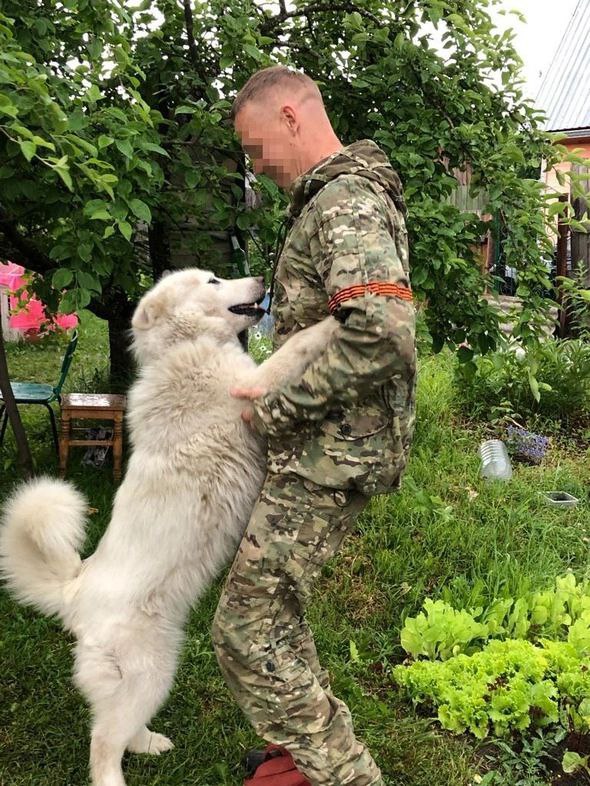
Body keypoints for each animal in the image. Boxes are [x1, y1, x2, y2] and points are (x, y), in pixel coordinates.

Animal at [0, 268, 336, 786]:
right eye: (214, 280)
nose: (260, 278)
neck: (184, 346)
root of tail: (74, 591)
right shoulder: (254, 389)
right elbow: (296, 348)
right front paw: (343, 321)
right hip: (150, 673)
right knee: (102, 743)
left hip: (154, 675)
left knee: (119, 729)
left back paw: (150, 743)